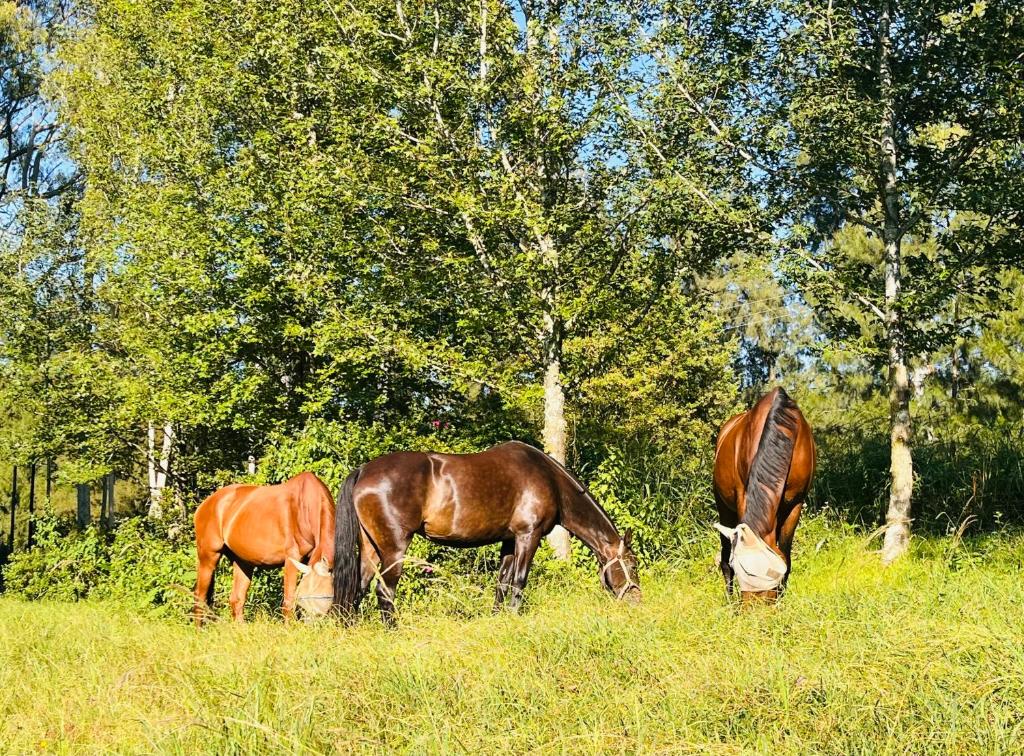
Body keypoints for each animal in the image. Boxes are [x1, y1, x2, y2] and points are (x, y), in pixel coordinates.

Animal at [193, 471, 335, 625]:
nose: (309, 622)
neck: (304, 507)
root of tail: (204, 504)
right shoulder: (292, 559)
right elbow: (288, 602)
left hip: (242, 562)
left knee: (237, 599)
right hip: (208, 556)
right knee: (199, 597)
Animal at [330, 440, 640, 624]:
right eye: (633, 564)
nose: (636, 599)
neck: (549, 479)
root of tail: (363, 471)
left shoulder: (509, 541)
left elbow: (502, 582)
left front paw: (497, 618)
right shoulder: (529, 536)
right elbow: (519, 581)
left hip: (371, 547)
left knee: (359, 586)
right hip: (394, 548)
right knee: (384, 590)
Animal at [712, 387, 815, 602]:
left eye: (772, 574)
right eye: (740, 570)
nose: (753, 608)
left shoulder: (796, 504)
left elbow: (785, 555)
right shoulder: (743, 496)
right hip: (722, 505)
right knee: (724, 556)